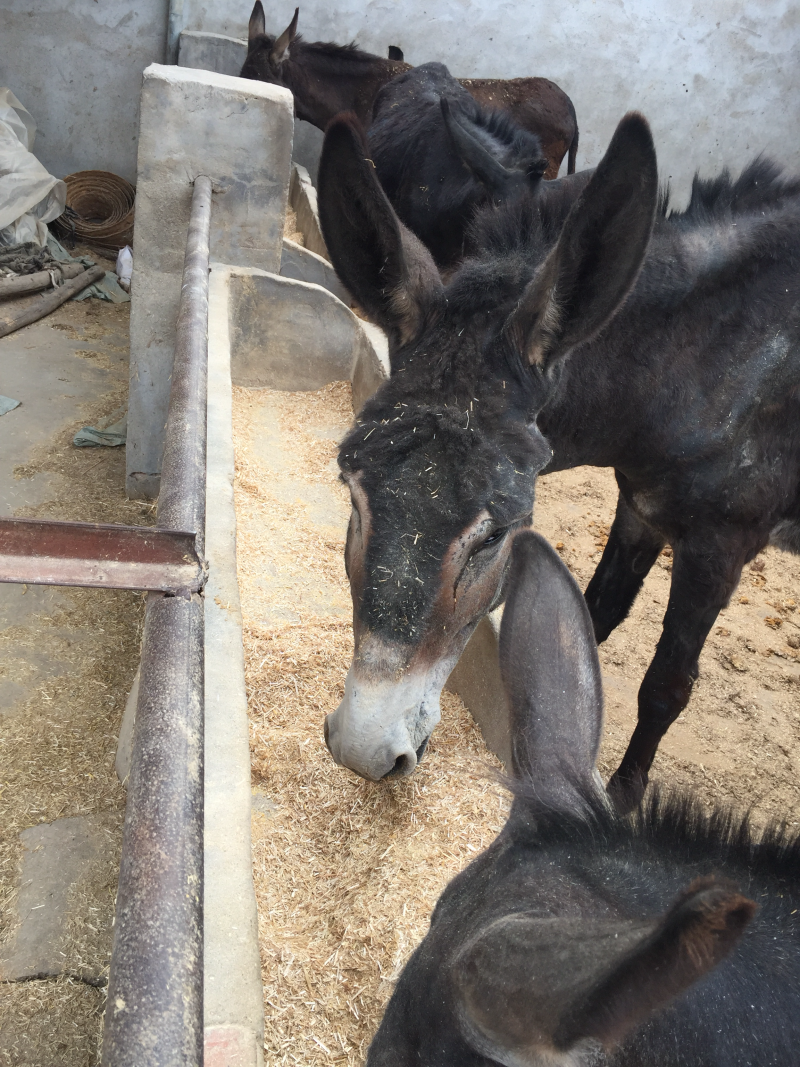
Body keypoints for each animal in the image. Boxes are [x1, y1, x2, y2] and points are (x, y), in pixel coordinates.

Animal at [317, 109, 800, 813]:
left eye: (495, 536)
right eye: (351, 493)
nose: (364, 749)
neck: (706, 361)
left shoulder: (722, 545)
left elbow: (667, 684)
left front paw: (622, 799)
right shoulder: (641, 508)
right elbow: (588, 623)